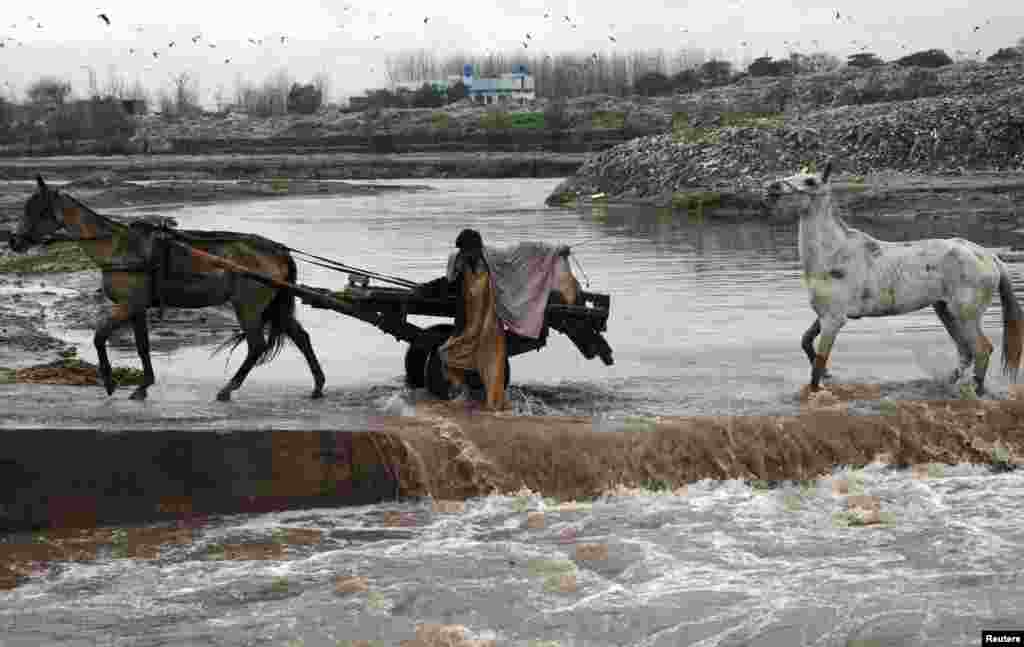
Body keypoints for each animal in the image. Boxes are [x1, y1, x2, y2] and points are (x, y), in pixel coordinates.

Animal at [9, 174, 323, 401]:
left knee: (256, 345)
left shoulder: (129, 305)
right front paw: (143, 385)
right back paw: (318, 385)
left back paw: (228, 389)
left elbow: (102, 338)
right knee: (301, 337)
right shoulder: (136, 307)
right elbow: (141, 345)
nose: (14, 241)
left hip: (248, 306)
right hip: (271, 305)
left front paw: (111, 382)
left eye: (37, 210)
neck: (118, 247)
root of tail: (278, 250)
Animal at [765, 161, 1019, 395]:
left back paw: (977, 391)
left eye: (810, 181)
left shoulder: (833, 319)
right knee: (966, 352)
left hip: (966, 314)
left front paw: (817, 388)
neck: (834, 252)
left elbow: (817, 366)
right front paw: (828, 374)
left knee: (982, 350)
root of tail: (989, 256)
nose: (771, 187)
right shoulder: (825, 315)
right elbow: (806, 342)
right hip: (946, 310)